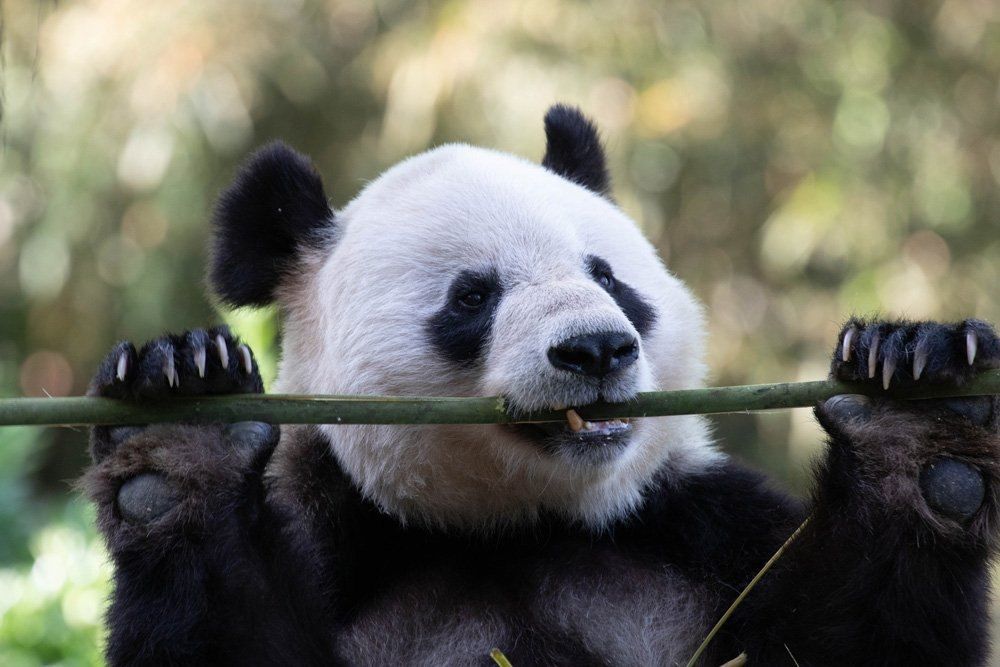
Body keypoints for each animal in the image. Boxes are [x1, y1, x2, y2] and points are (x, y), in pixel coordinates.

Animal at [83, 105, 1000, 666]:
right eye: (472, 296)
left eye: (609, 276)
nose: (596, 349)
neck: (520, 524)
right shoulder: (345, 540)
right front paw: (182, 422)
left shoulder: (694, 528)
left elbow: (857, 638)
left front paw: (915, 412)